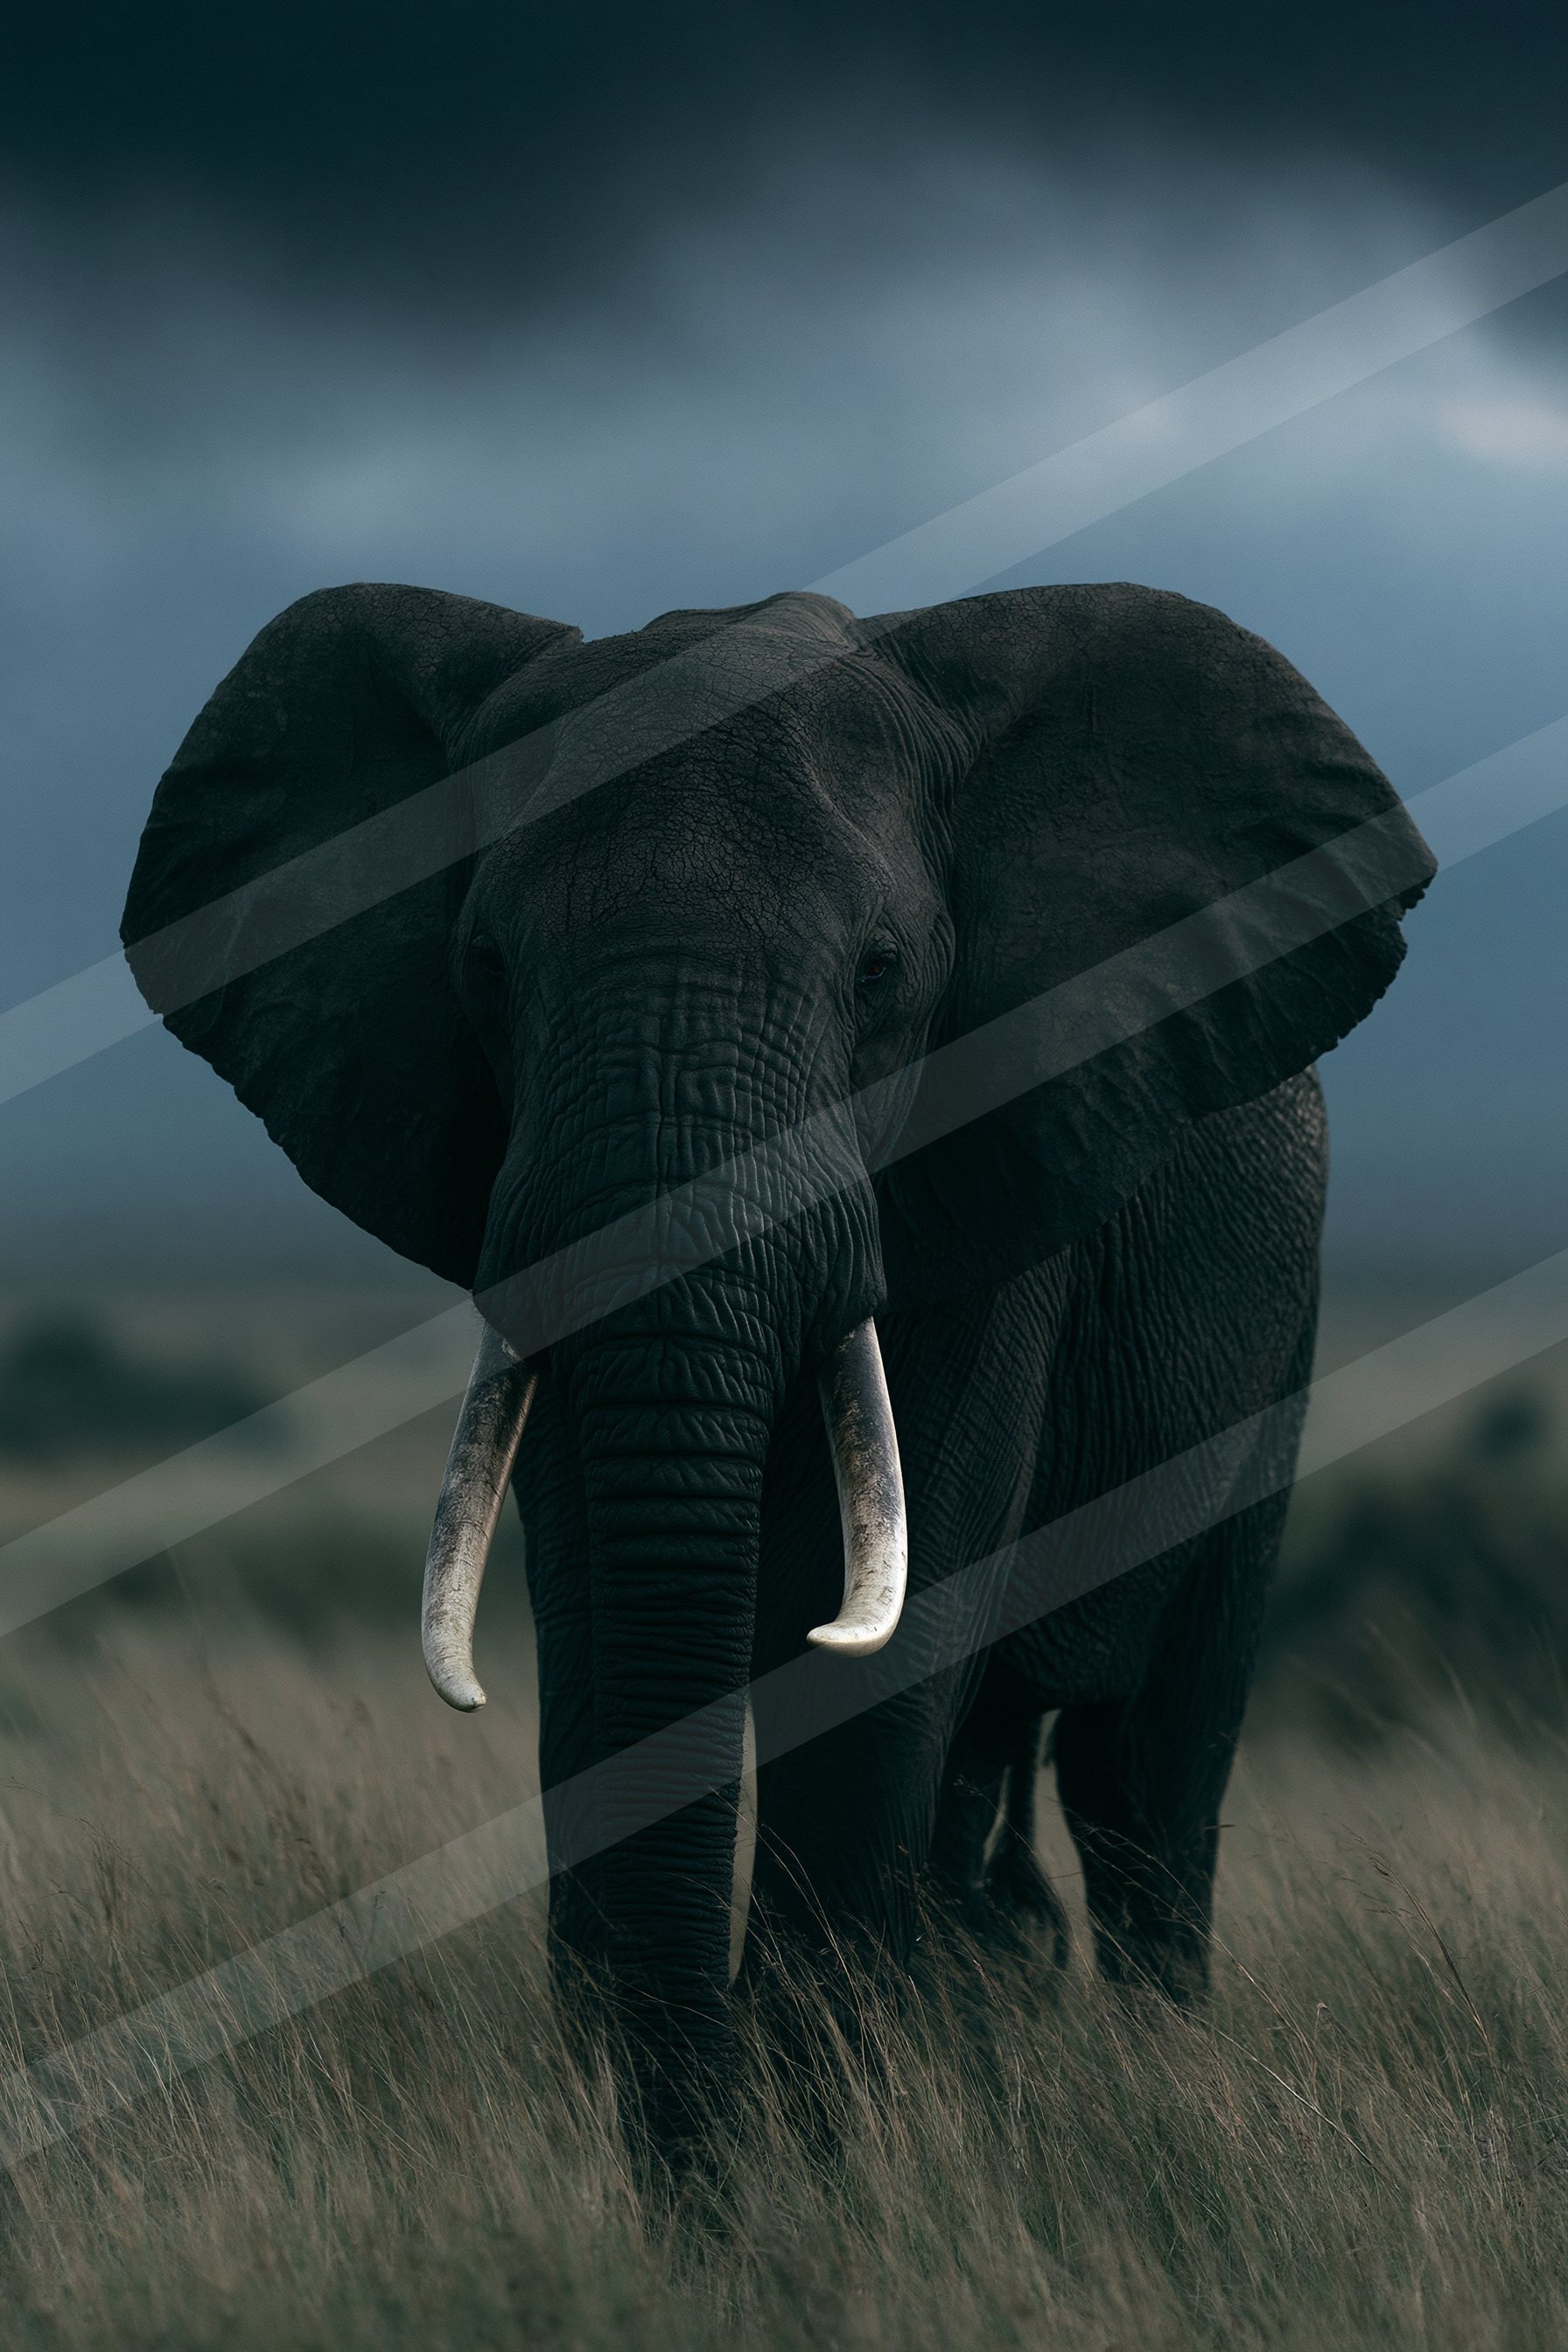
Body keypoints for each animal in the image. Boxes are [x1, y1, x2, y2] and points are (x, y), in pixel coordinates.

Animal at [122, 578, 1433, 2168]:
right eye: (485, 970)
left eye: (879, 975)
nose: (703, 2194)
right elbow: (597, 1635)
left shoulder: (987, 1196)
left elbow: (876, 1674)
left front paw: (820, 2169)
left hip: (1278, 1350)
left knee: (1149, 1773)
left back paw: (1145, 2073)